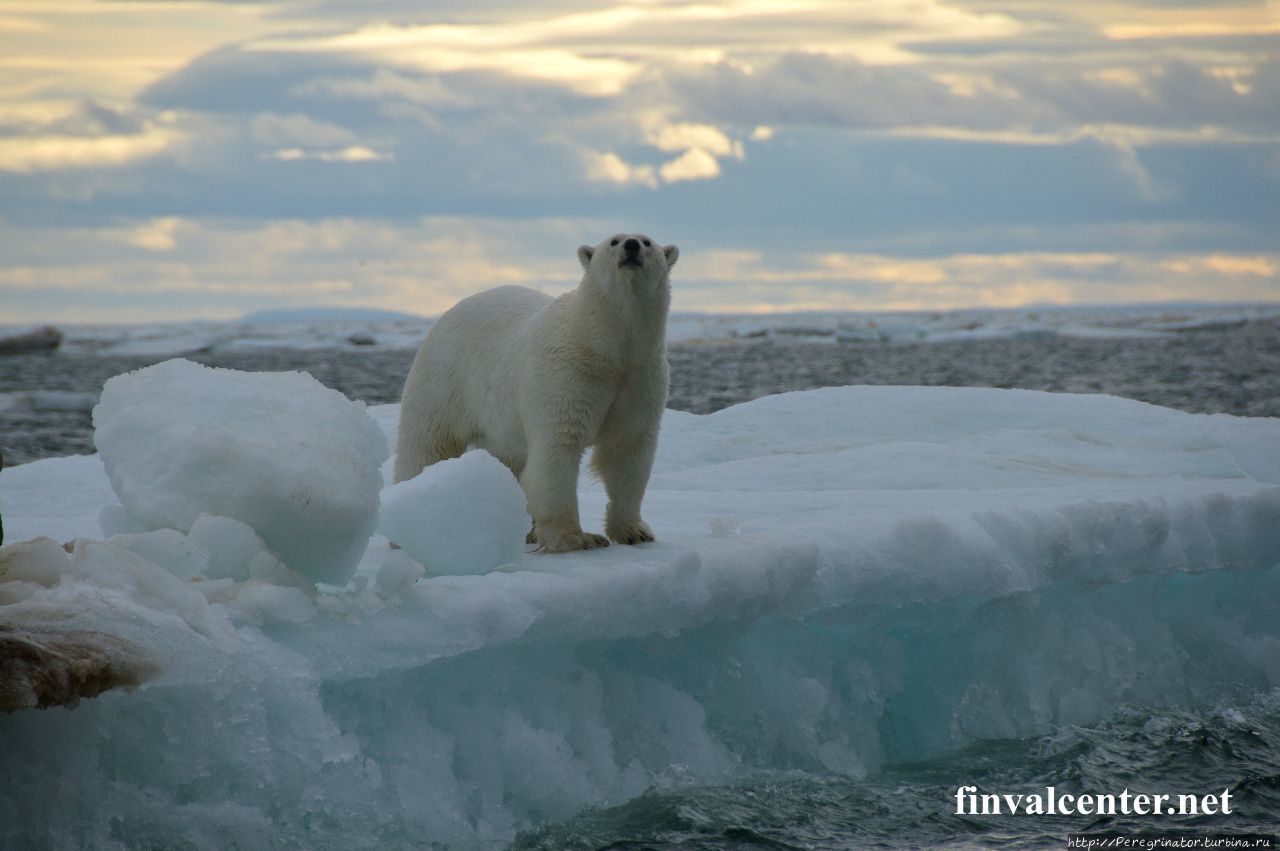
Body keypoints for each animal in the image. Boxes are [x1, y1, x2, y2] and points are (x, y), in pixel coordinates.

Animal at [394, 232, 680, 550]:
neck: (605, 347)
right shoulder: (568, 373)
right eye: (614, 241)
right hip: (444, 379)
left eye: (647, 242)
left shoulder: (640, 377)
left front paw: (634, 532)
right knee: (426, 445)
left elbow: (627, 449)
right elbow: (558, 448)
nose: (631, 245)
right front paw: (576, 538)